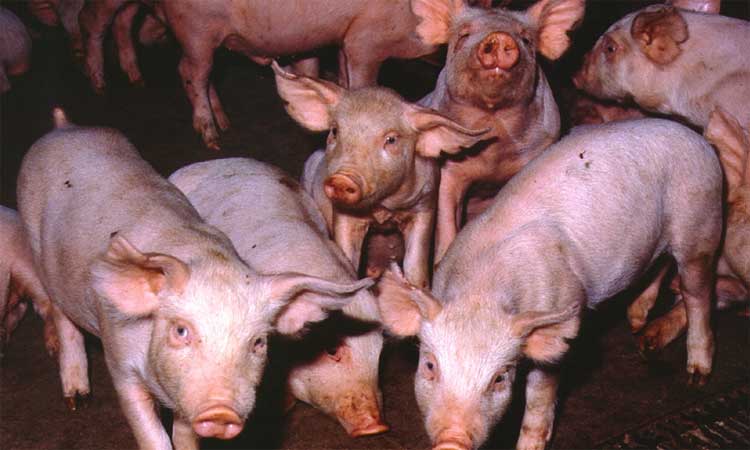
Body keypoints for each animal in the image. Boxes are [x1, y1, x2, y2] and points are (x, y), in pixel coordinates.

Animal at [273, 62, 488, 288]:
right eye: (335, 131)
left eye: (391, 140)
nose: (342, 178)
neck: (383, 210)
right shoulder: (343, 211)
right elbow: (347, 252)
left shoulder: (426, 202)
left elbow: (416, 262)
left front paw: (417, 287)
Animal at [376, 119, 722, 450]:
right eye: (430, 365)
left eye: (499, 378)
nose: (452, 440)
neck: (481, 293)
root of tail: (699, 140)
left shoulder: (558, 312)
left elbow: (541, 392)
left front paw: (529, 444)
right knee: (660, 265)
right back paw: (637, 325)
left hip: (699, 225)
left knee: (697, 293)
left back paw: (696, 375)